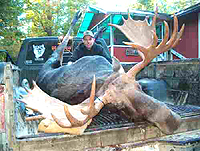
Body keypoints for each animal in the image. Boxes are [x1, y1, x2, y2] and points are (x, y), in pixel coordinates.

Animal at [19, 8, 184, 135]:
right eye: (119, 106)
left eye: (139, 86)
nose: (172, 120)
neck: (102, 77)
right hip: (50, 61)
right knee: (60, 46)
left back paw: (93, 27)